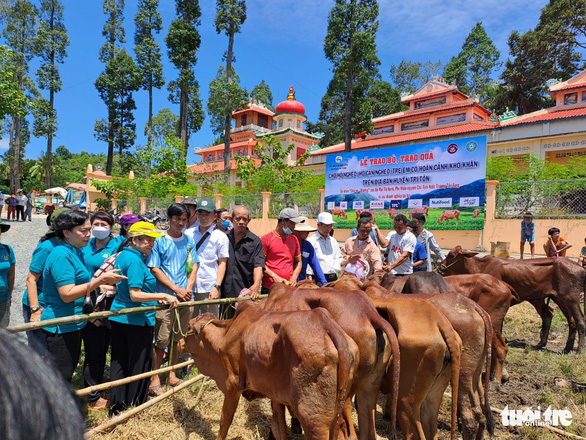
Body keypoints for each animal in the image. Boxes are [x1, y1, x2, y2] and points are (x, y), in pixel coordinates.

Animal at [182, 302, 356, 440]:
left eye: (188, 326)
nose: (178, 343)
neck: (226, 334)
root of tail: (327, 325)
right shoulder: (276, 394)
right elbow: (279, 427)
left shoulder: (233, 383)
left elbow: (225, 419)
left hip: (313, 419)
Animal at [438, 248, 584, 354]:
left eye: (452, 255)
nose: (440, 267)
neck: (479, 267)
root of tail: (580, 267)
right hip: (551, 299)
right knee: (561, 318)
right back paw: (557, 346)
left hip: (570, 300)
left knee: (580, 320)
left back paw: (578, 350)